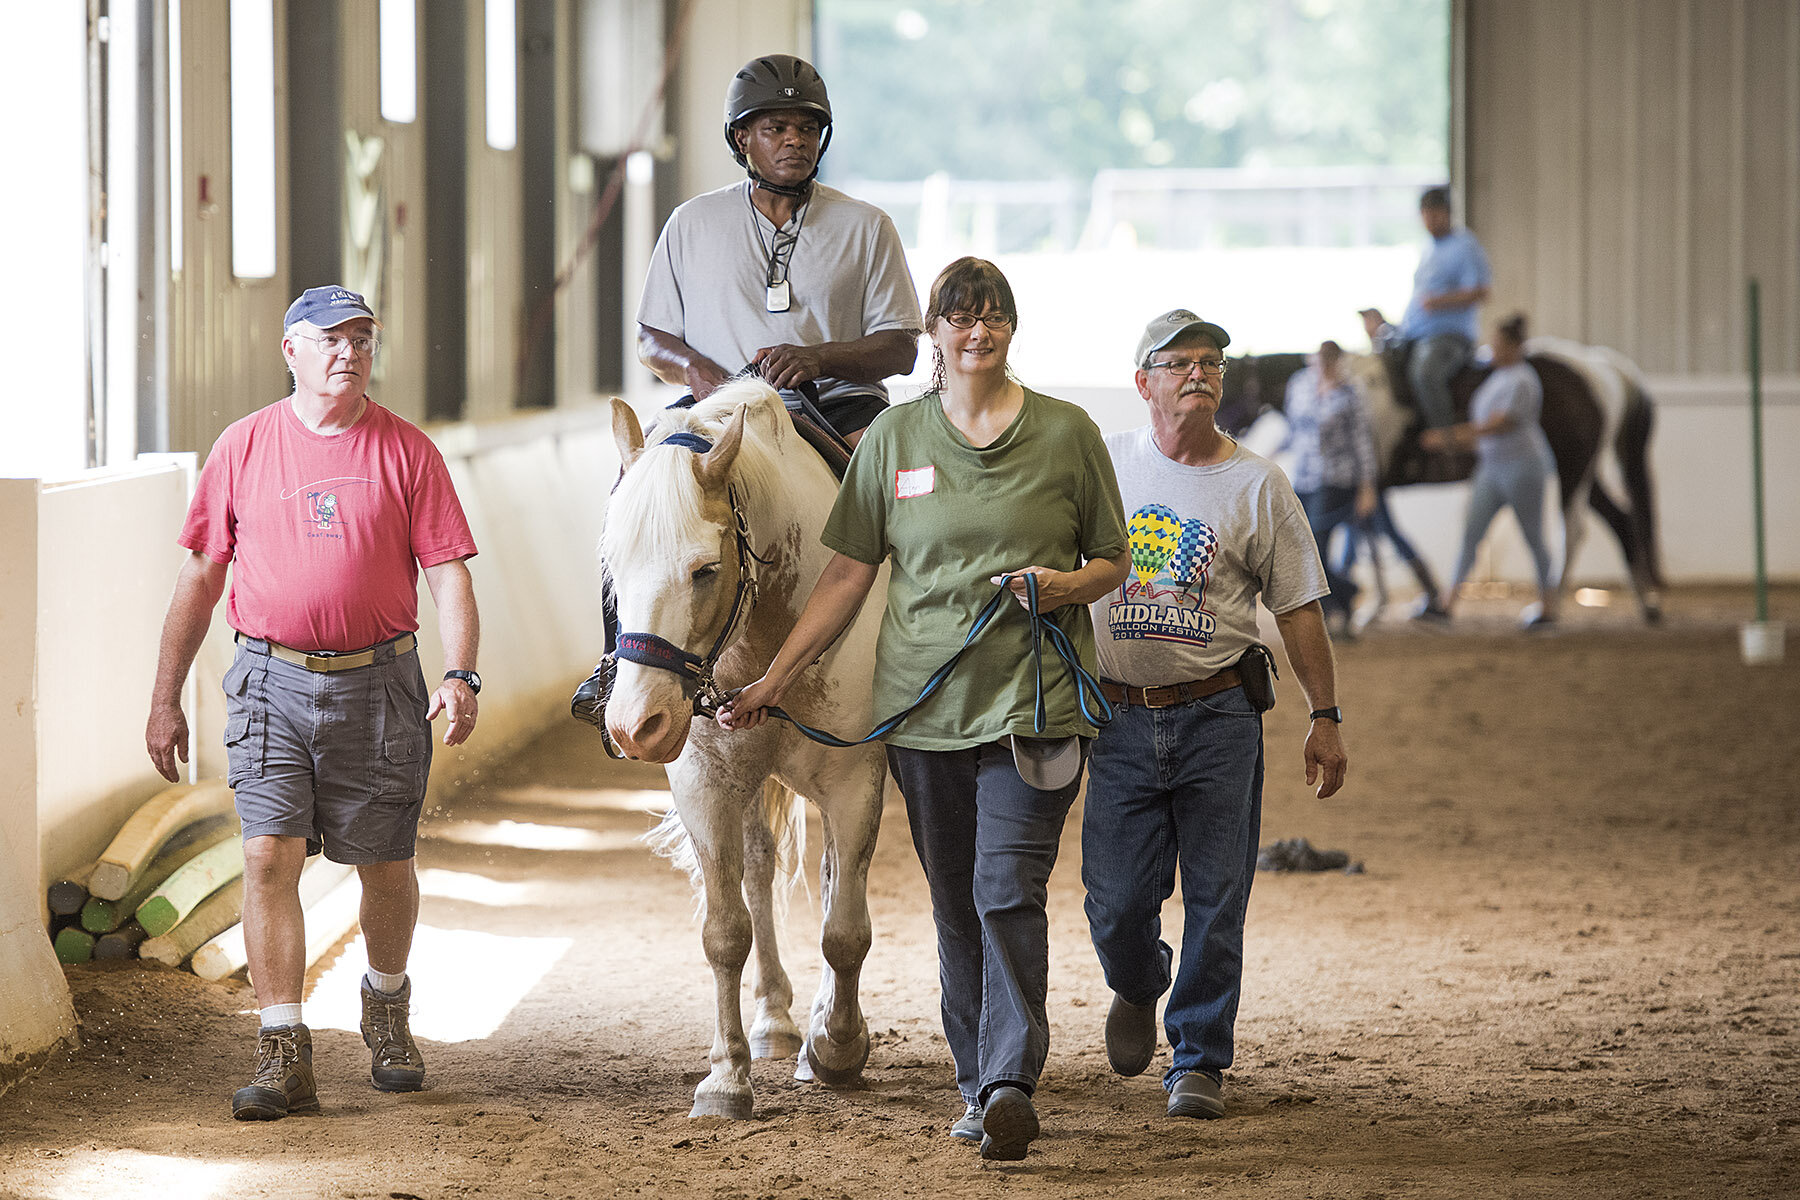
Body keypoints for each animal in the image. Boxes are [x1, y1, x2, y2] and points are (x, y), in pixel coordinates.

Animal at [601, 379, 889, 1122]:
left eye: (705, 569)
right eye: (612, 565)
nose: (637, 724)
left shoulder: (854, 776)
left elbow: (845, 929)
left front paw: (839, 1047)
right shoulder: (705, 784)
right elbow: (726, 931)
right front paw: (726, 1076)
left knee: (838, 887)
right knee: (762, 871)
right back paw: (775, 1020)